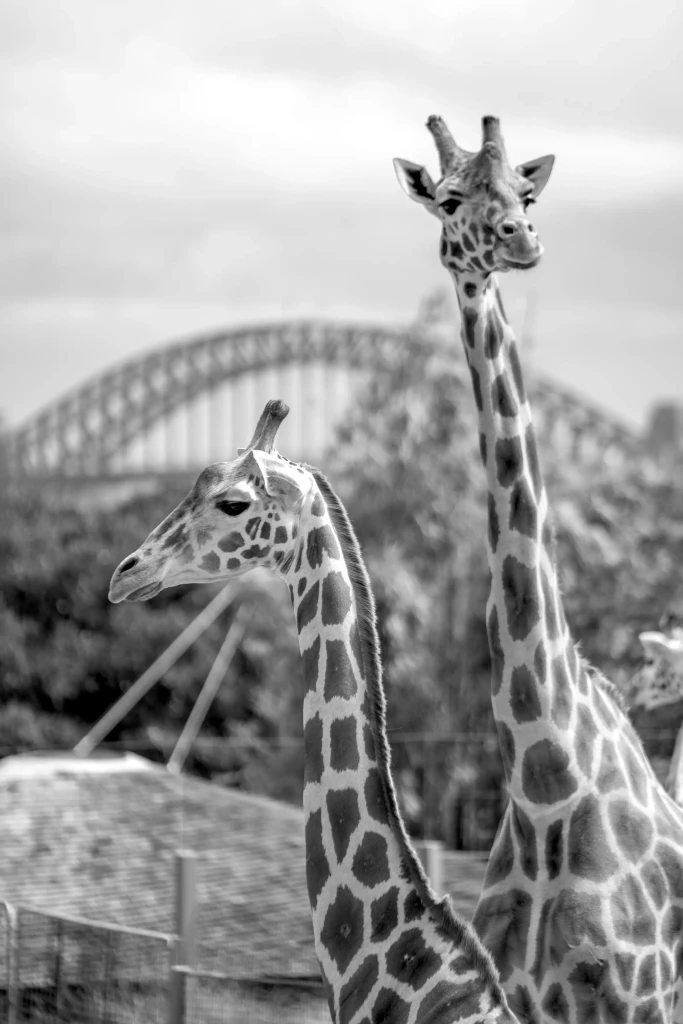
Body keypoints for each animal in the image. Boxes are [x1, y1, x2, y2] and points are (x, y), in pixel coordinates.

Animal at [393, 114, 683, 1023]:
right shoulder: (519, 997)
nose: (521, 241)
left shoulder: (642, 999)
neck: (544, 778)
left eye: (524, 194)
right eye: (450, 198)